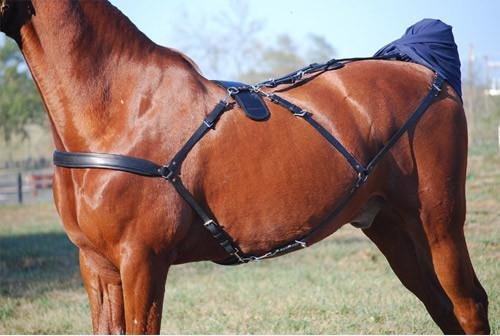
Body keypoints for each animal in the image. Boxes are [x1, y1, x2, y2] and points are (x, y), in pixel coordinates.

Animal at [0, 1, 490, 334]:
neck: (122, 108)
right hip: (393, 227)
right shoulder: (96, 266)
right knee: (443, 307)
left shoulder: (142, 260)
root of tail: (428, 75)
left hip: (439, 224)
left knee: (469, 305)